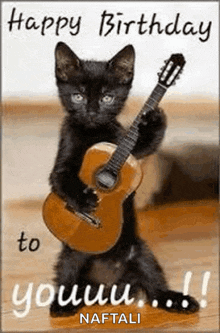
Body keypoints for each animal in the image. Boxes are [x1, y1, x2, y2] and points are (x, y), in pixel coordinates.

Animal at [48, 42, 199, 316]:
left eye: (107, 98)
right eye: (78, 96)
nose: (92, 113)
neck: (94, 132)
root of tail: (106, 289)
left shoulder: (131, 153)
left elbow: (148, 142)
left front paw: (152, 118)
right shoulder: (62, 161)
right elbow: (62, 179)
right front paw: (85, 200)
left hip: (141, 253)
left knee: (155, 290)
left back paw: (178, 300)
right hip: (71, 257)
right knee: (67, 278)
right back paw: (62, 304)